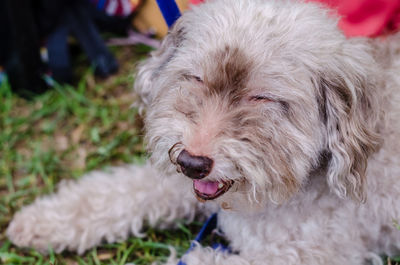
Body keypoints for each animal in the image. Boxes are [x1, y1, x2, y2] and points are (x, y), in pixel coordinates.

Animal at [5, 0, 400, 262]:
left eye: (262, 97)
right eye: (195, 77)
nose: (192, 163)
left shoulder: (309, 254)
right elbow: (120, 190)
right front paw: (44, 220)